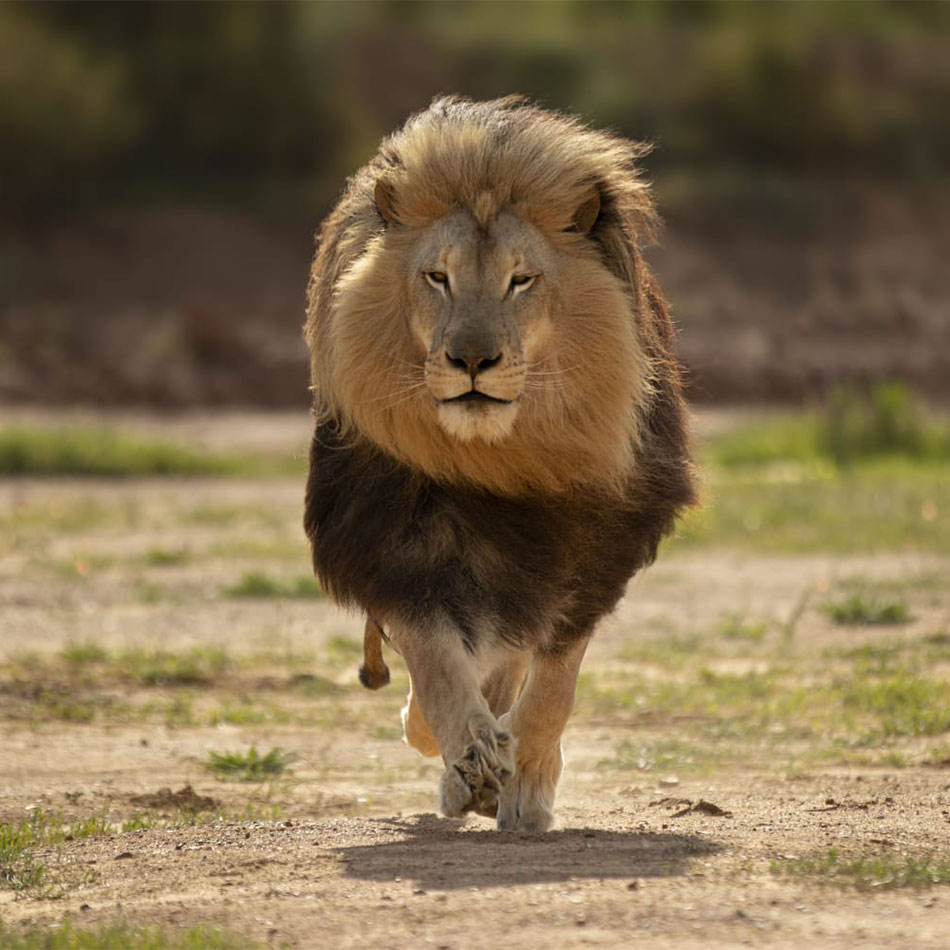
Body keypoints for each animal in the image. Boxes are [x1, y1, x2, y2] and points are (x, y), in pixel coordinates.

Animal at [304, 96, 695, 832]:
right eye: (438, 277)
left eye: (521, 281)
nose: (472, 359)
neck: (506, 459)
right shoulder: (398, 544)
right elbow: (436, 662)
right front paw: (468, 758)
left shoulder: (587, 559)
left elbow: (551, 689)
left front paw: (525, 785)